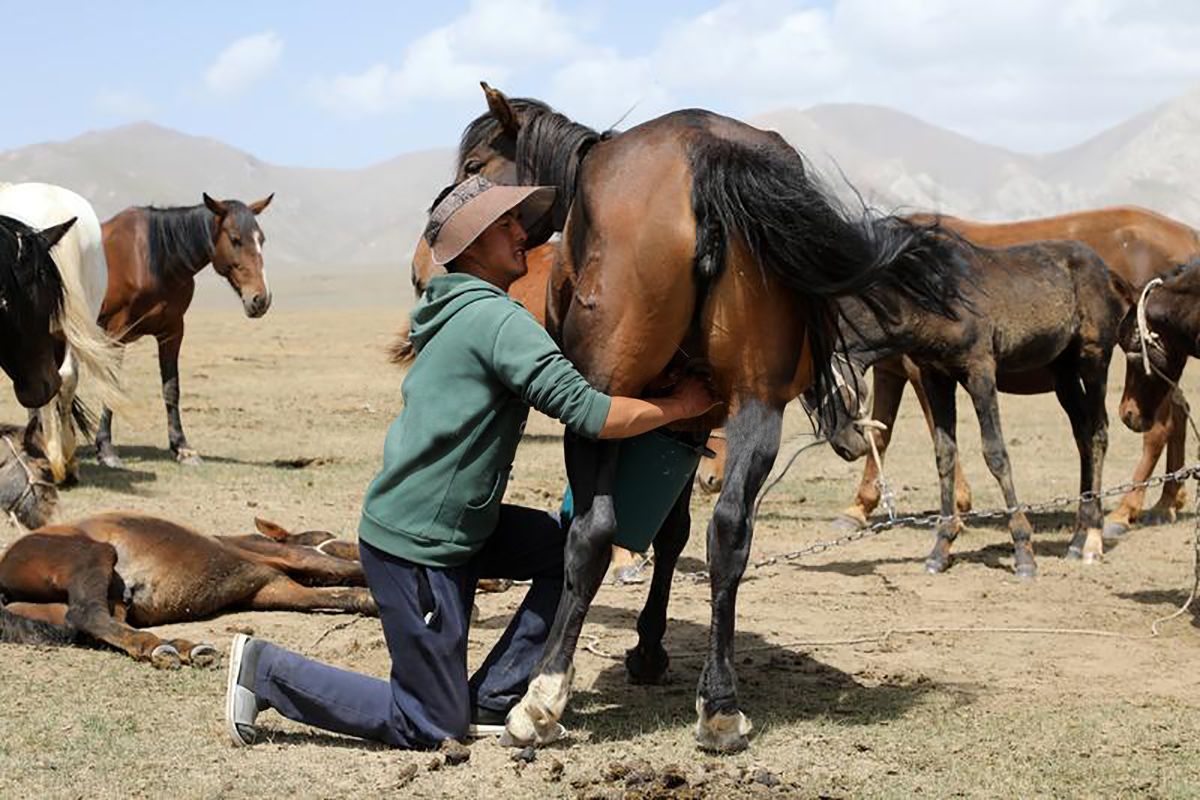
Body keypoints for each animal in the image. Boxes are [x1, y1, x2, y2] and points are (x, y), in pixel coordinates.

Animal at [0, 513, 374, 671]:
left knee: (93, 623)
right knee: (85, 613)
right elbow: (350, 573)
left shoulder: (274, 587)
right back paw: (163, 648)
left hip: (103, 600)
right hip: (95, 554)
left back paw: (179, 648)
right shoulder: (294, 558)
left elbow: (347, 595)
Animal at [94, 195, 273, 470]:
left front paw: (182, 448)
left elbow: (171, 389)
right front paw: (106, 449)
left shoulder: (172, 332)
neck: (153, 259)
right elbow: (110, 384)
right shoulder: (116, 333)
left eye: (261, 239)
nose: (261, 299)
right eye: (235, 239)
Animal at [451, 84, 964, 753]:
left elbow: (649, 534)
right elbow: (679, 533)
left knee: (591, 535)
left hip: (600, 402)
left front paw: (641, 652)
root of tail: (704, 155)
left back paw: (542, 700)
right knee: (730, 533)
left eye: (473, 167)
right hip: (756, 405)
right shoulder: (692, 420)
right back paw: (720, 706)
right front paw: (653, 649)